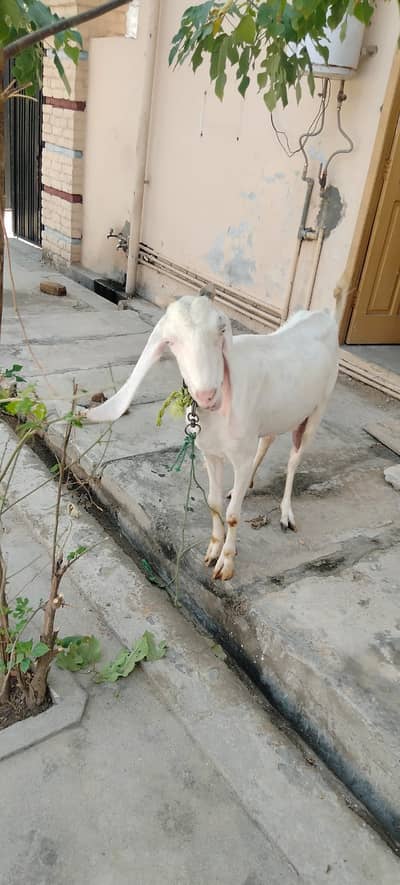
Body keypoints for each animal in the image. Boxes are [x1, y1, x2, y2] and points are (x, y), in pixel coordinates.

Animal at [86, 288, 339, 581]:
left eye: (221, 331)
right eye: (171, 341)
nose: (207, 395)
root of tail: (323, 315)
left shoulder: (239, 454)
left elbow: (233, 515)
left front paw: (226, 565)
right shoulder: (211, 453)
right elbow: (214, 503)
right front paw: (211, 551)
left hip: (318, 408)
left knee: (294, 459)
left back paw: (286, 514)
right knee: (267, 440)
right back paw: (246, 485)